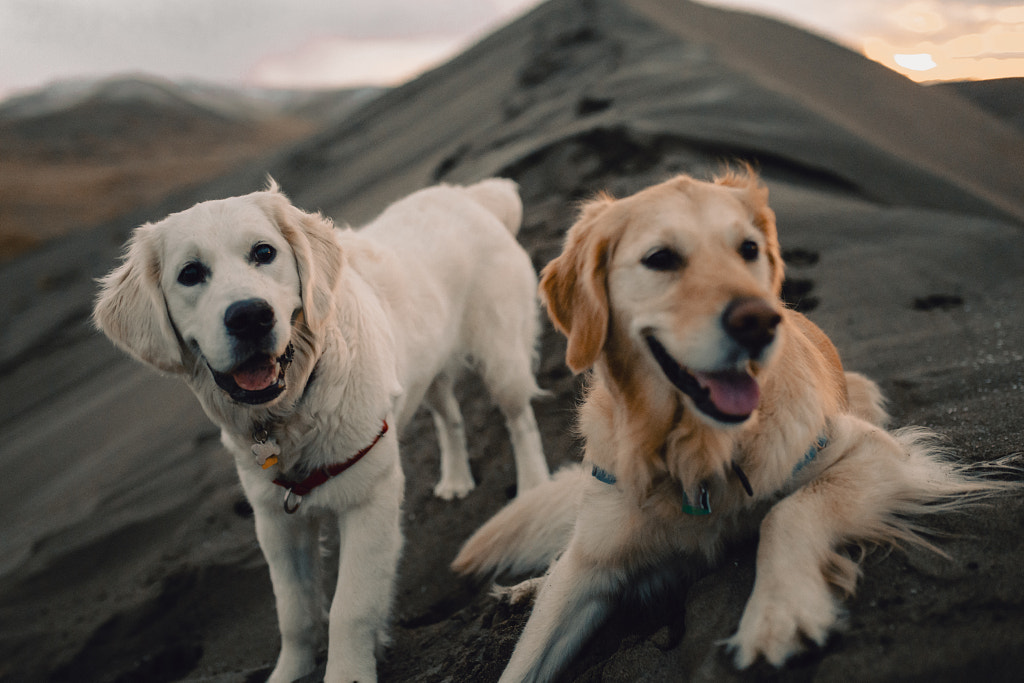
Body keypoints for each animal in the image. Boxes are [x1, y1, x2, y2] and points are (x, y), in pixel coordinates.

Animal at [94, 179, 552, 679]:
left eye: (264, 252)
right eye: (190, 273)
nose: (250, 316)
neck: (293, 407)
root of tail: (468, 194)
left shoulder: (369, 497)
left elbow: (350, 608)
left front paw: (348, 670)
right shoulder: (275, 517)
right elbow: (294, 613)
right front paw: (290, 672)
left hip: (500, 356)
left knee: (521, 421)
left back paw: (533, 490)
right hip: (425, 370)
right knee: (449, 415)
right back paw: (455, 480)